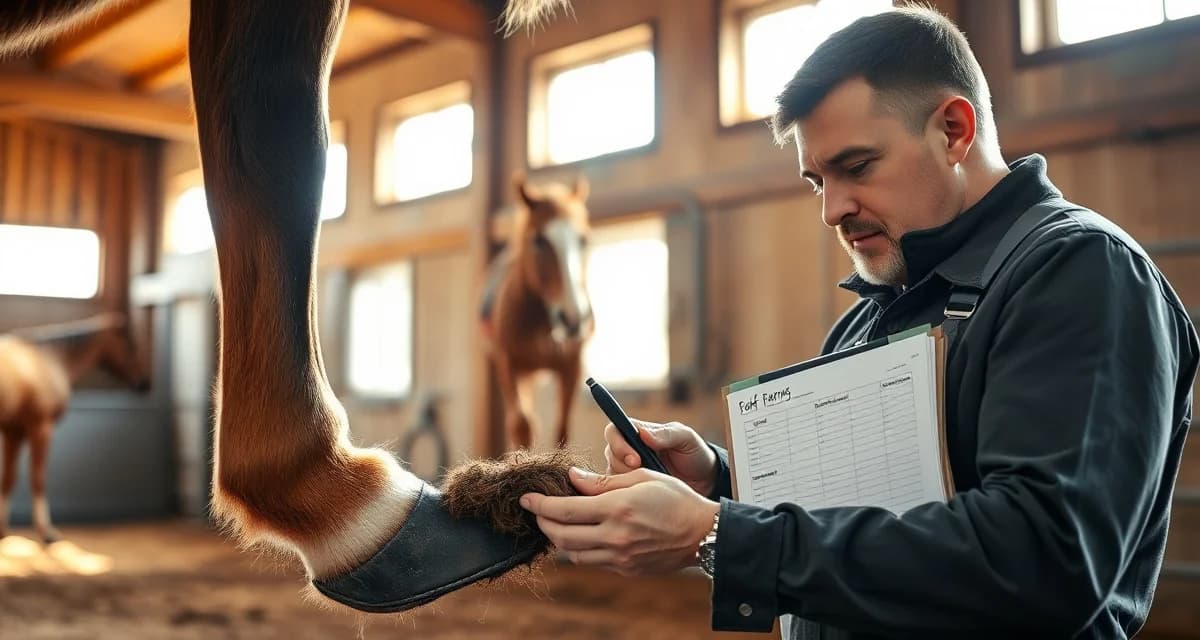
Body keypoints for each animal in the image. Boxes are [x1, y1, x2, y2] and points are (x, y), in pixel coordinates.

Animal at [482, 174, 594, 450]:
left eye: (584, 240)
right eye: (539, 240)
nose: (573, 318)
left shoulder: (572, 366)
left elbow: (562, 429)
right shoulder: (508, 363)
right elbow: (522, 425)